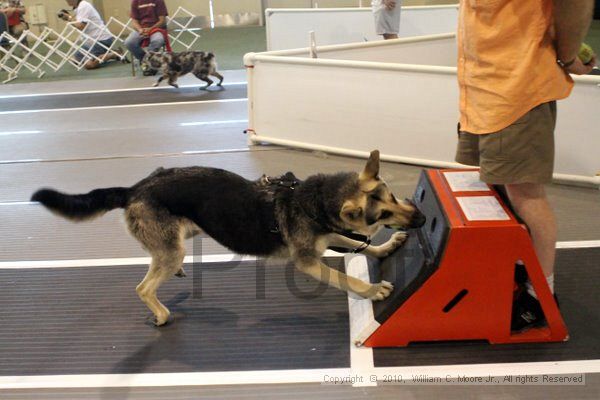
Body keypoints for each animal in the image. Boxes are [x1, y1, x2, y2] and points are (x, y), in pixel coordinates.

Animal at [32, 152, 424, 326]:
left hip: (175, 242)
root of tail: (135, 189)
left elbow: (361, 244)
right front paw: (372, 290)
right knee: (143, 287)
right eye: (382, 214)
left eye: (392, 196)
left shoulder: (330, 236)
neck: (313, 201)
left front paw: (384, 247)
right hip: (171, 252)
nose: (420, 217)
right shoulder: (308, 262)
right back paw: (160, 313)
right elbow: (345, 279)